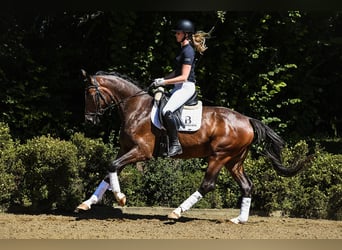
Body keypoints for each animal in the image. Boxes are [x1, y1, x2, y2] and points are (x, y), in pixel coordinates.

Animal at [76, 69, 308, 224]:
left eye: (90, 94)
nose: (89, 121)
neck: (136, 109)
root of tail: (247, 120)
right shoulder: (125, 149)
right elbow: (109, 171)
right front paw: (86, 203)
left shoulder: (141, 152)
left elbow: (112, 166)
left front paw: (120, 198)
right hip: (234, 160)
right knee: (247, 185)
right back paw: (239, 219)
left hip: (219, 156)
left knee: (207, 185)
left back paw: (177, 212)